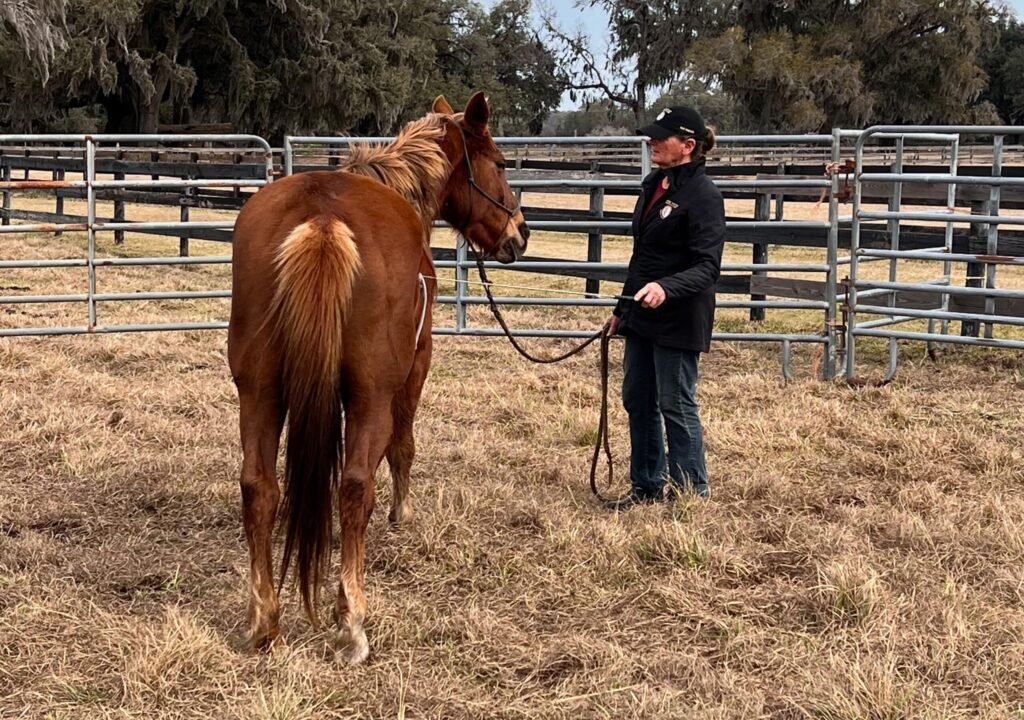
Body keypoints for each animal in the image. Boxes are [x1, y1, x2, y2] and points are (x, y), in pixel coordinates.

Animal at [227, 92, 529, 664]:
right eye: (501, 164)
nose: (519, 234)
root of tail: (323, 217)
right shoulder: (414, 370)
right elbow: (403, 446)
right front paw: (402, 513)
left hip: (258, 392)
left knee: (259, 488)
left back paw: (264, 623)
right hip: (371, 394)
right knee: (353, 486)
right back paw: (352, 624)